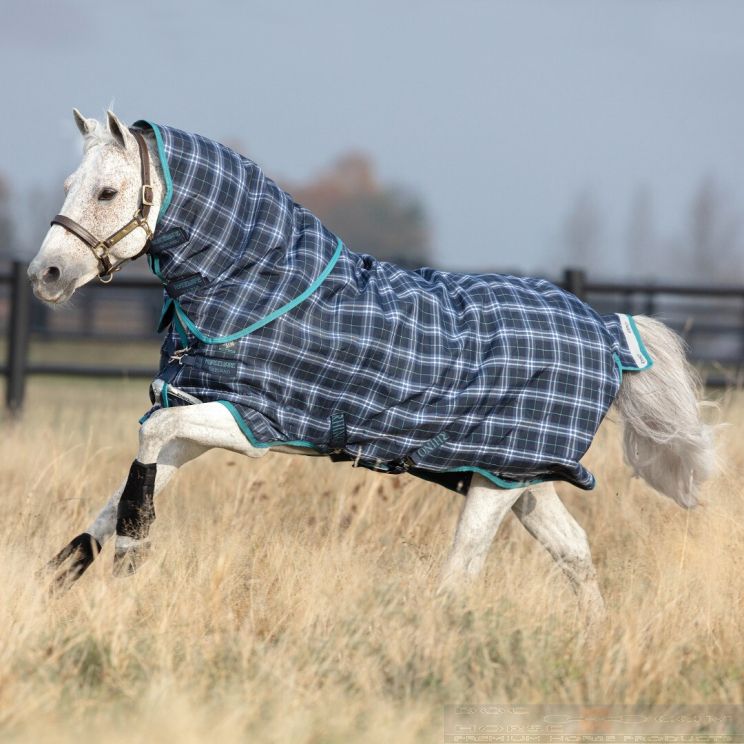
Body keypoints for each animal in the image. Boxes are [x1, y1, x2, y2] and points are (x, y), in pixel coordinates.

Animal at [28, 109, 714, 626]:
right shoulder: (199, 411)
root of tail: (606, 329)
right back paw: (594, 636)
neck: (261, 285)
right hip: (516, 476)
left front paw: (133, 555)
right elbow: (120, 490)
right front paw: (51, 583)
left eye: (108, 192)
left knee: (463, 571)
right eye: (68, 186)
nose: (46, 276)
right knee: (572, 551)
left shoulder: (248, 422)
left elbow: (145, 451)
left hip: (498, 482)